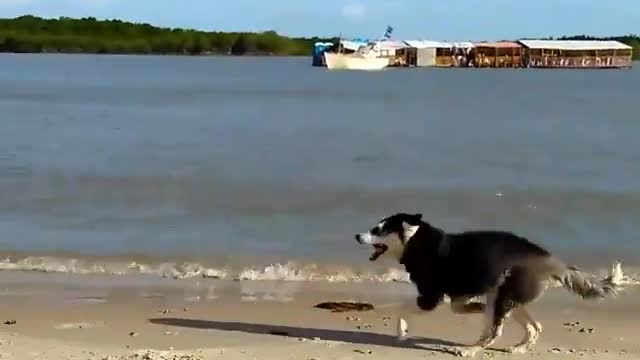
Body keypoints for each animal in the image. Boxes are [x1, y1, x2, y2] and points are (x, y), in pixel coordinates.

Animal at [356, 212, 620, 356]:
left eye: (377, 229)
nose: (357, 236)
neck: (414, 241)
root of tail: (547, 258)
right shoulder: (459, 293)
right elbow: (458, 307)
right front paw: (476, 308)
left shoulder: (430, 297)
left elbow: (402, 309)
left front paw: (401, 333)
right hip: (507, 295)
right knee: (534, 326)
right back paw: (518, 348)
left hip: (504, 295)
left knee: (496, 331)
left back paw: (470, 350)